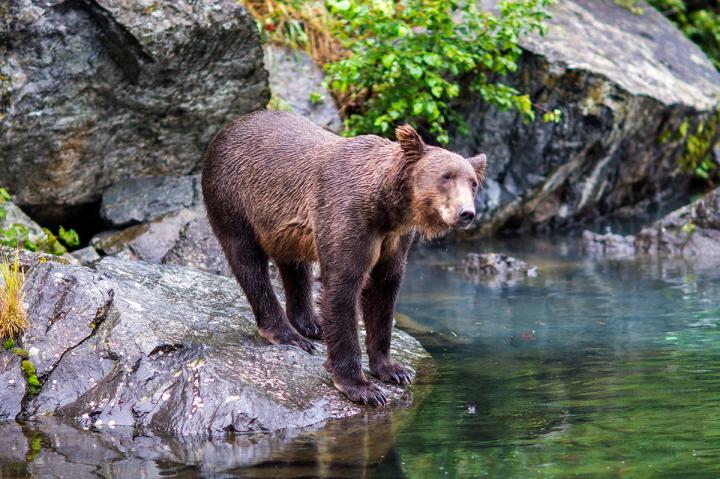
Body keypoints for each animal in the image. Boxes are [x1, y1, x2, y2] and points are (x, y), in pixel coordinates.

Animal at [200, 110, 486, 406]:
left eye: (473, 183)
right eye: (446, 176)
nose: (466, 213)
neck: (386, 208)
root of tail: (227, 129)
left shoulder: (394, 239)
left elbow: (384, 292)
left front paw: (394, 370)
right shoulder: (347, 217)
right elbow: (343, 288)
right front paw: (362, 388)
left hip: (284, 227)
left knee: (295, 265)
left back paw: (311, 324)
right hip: (234, 199)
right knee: (248, 262)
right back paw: (289, 335)